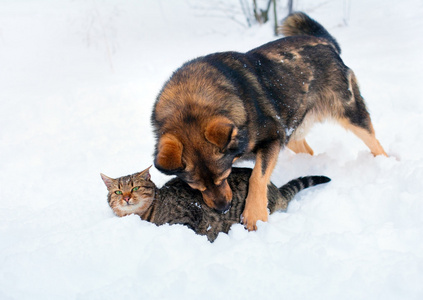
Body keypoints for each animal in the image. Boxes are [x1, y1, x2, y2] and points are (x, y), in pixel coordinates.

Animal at [152, 11, 388, 231]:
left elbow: (257, 176)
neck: (192, 100)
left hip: (347, 112)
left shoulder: (273, 138)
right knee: (308, 150)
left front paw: (254, 213)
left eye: (224, 176)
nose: (223, 209)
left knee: (374, 141)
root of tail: (325, 41)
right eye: (196, 186)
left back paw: (386, 164)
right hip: (291, 126)